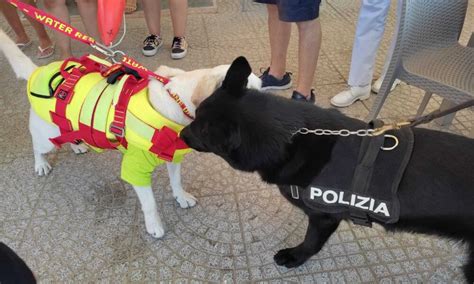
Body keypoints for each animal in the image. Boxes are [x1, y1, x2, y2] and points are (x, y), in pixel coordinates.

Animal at [0, 28, 260, 237]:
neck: (176, 103)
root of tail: (37, 72)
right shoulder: (135, 170)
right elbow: (150, 204)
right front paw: (154, 226)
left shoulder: (173, 156)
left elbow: (176, 181)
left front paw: (181, 197)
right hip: (44, 137)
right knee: (37, 147)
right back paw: (41, 164)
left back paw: (76, 145)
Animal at [181, 57, 474, 282]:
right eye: (194, 116)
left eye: (199, 129)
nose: (182, 134)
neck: (290, 137)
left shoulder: (324, 218)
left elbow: (311, 241)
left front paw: (295, 256)